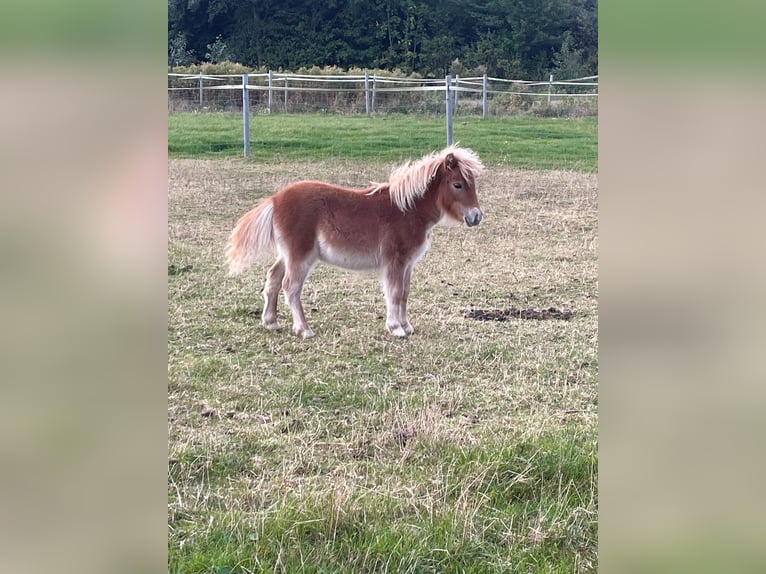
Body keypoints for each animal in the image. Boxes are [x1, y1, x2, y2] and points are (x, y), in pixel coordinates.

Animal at [225, 144, 486, 340]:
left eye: (472, 184)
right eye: (457, 184)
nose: (476, 217)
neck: (407, 210)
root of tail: (276, 199)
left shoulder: (408, 264)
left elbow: (404, 293)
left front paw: (407, 326)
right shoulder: (394, 261)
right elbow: (394, 292)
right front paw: (396, 329)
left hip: (287, 254)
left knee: (273, 279)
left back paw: (271, 322)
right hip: (301, 255)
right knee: (291, 286)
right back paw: (304, 330)